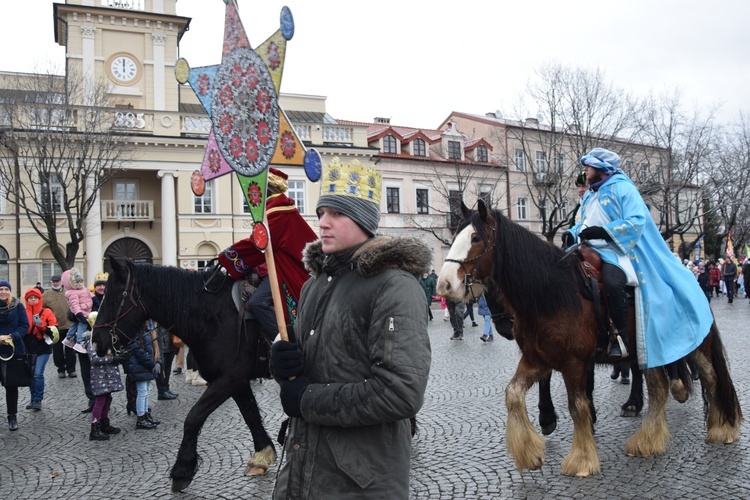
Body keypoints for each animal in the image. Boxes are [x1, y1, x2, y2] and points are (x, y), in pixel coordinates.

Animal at [93, 260, 276, 490]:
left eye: (114, 296)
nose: (95, 340)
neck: (213, 315)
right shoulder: (237, 382)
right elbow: (251, 415)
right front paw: (262, 456)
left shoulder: (227, 380)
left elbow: (193, 417)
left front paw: (183, 469)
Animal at [438, 200, 744, 476]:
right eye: (455, 238)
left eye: (476, 238)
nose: (444, 284)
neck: (551, 293)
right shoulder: (538, 359)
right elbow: (513, 394)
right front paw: (531, 452)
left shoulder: (574, 363)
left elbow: (578, 406)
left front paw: (582, 460)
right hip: (649, 349)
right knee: (659, 388)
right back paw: (648, 440)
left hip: (695, 346)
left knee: (711, 378)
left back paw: (721, 428)